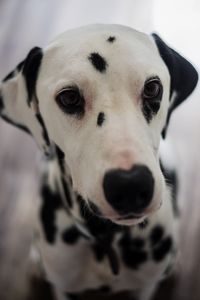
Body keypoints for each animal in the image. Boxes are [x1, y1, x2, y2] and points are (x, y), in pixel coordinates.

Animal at [0, 24, 198, 300]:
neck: (107, 241)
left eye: (152, 88)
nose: (130, 185)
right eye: (69, 97)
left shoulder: (144, 287)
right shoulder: (66, 287)